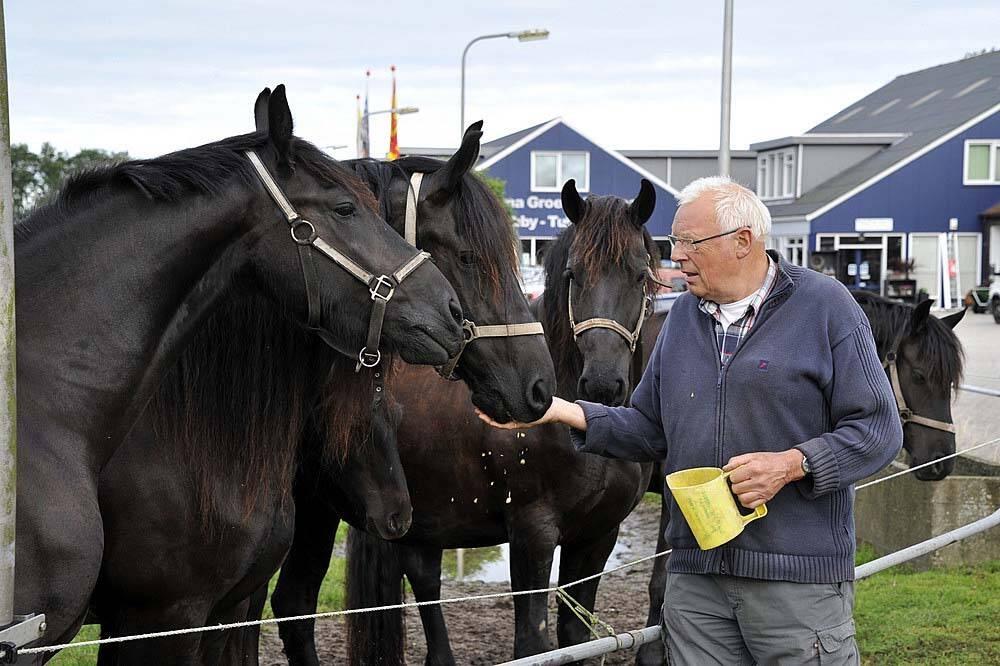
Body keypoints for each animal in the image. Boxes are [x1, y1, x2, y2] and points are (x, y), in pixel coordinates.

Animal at [290, 179, 660, 660]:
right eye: (572, 275)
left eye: (640, 275)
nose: (601, 382)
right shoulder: (532, 536)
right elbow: (533, 643)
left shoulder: (598, 536)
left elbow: (576, 639)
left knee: (424, 582)